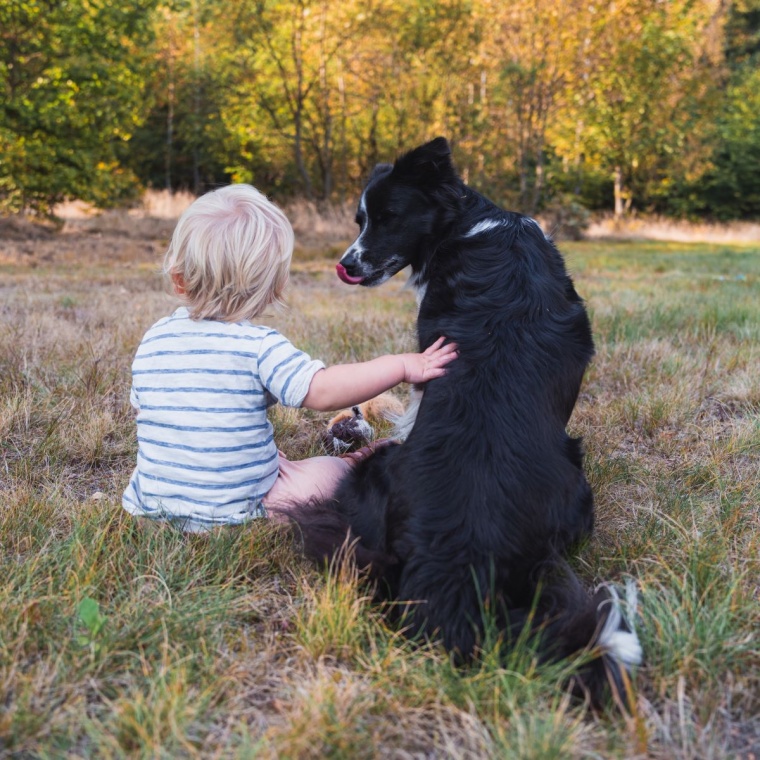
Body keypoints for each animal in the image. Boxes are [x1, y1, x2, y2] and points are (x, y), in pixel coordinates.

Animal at [294, 137, 640, 708]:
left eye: (387, 218)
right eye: (361, 219)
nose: (346, 265)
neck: (466, 223)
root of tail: (459, 560)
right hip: (576, 483)